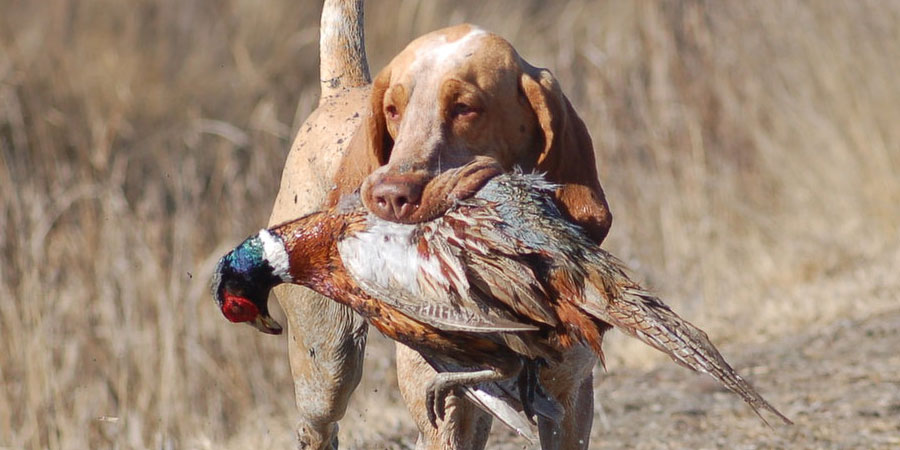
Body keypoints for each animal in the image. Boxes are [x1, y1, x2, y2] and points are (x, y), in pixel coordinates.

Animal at [324, 23, 612, 450]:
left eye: (464, 108)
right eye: (393, 111)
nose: (389, 197)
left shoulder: (572, 399)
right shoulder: (447, 409)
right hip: (333, 368)